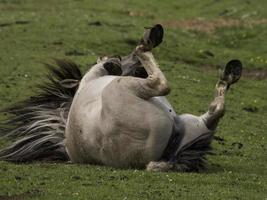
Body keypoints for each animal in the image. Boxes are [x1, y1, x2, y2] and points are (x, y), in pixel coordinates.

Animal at [0, 24, 243, 172]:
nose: (134, 63)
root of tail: (167, 159)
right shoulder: (101, 73)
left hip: (190, 124)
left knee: (215, 112)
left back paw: (229, 74)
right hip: (124, 89)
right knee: (162, 85)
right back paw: (147, 43)